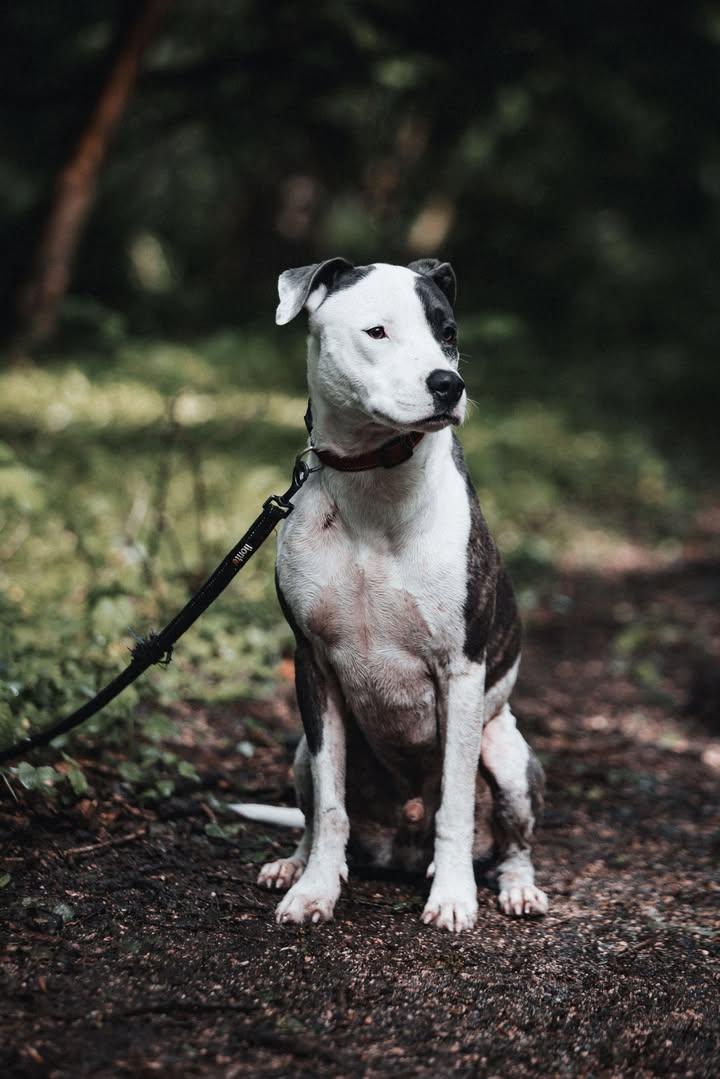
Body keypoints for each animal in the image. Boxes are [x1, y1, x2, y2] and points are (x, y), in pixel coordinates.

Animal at [234, 256, 548, 932]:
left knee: (513, 842)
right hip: (299, 751)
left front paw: (454, 897)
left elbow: (453, 803)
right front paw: (315, 890)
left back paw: (516, 888)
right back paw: (292, 864)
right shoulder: (313, 665)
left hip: (507, 754)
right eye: (377, 332)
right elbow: (330, 808)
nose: (448, 385)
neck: (374, 483)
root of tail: (399, 843)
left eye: (447, 332)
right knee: (313, 814)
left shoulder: (461, 672)